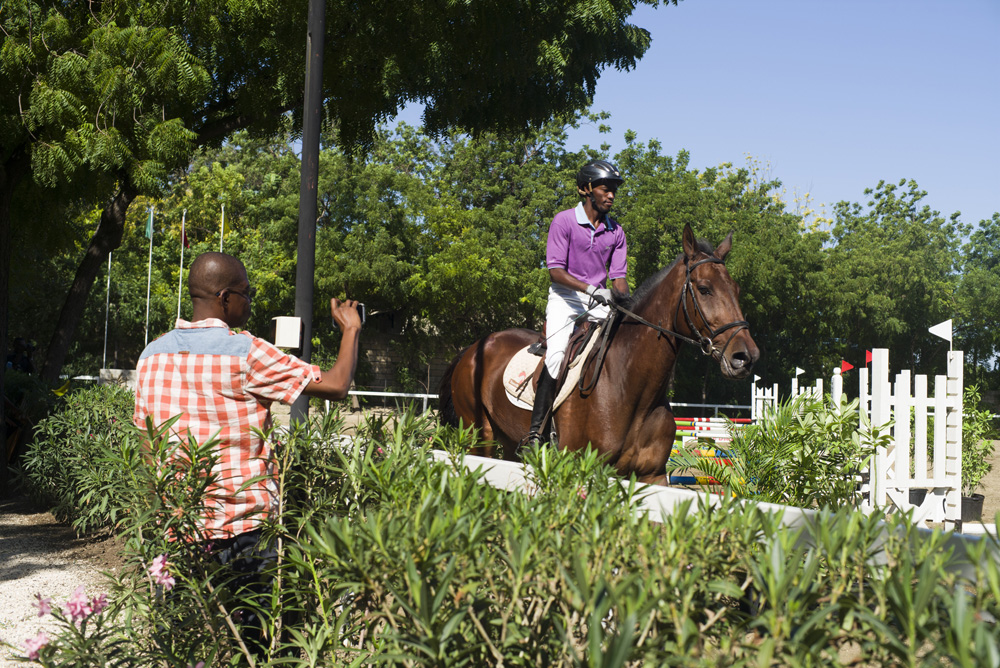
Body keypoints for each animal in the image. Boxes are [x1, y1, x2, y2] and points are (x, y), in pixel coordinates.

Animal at [438, 226, 756, 486]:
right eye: (704, 289)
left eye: (736, 289)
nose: (746, 356)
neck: (632, 388)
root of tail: (474, 348)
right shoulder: (585, 467)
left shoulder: (652, 476)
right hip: (478, 437)